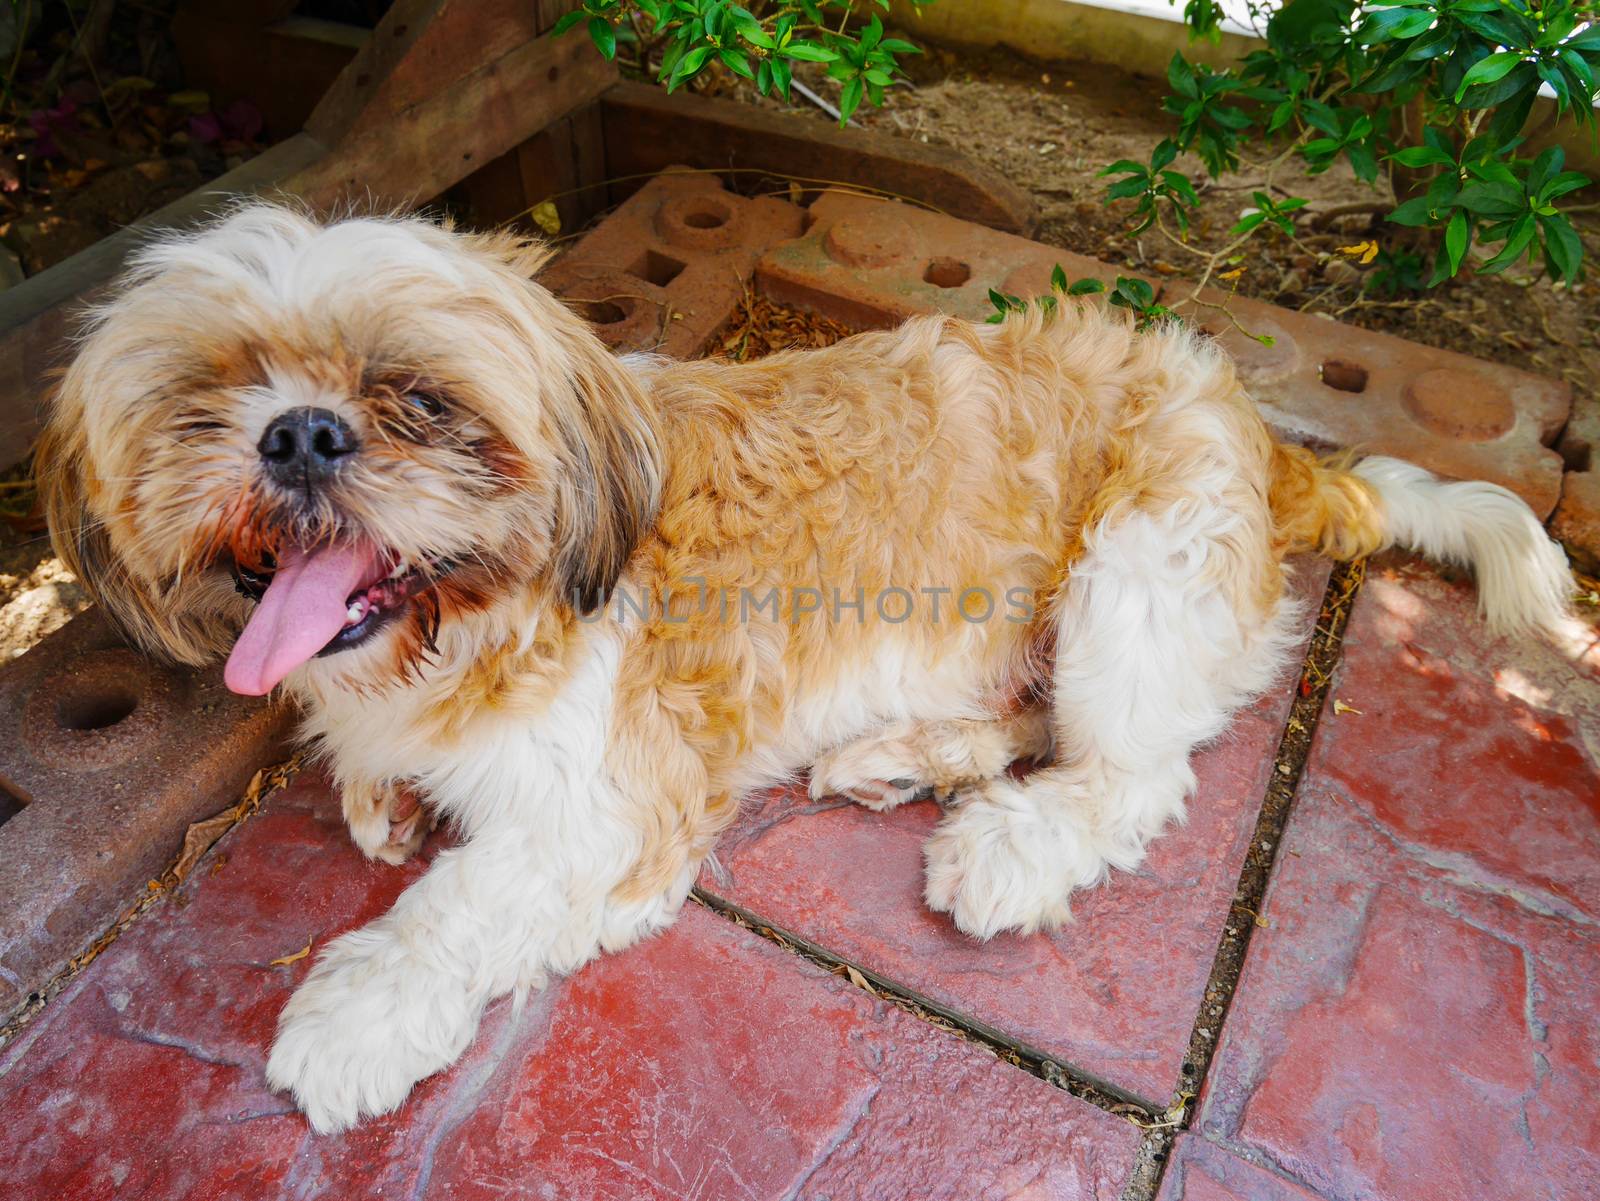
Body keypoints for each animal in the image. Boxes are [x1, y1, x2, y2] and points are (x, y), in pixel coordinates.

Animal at [37, 202, 1574, 1132]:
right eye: (207, 399)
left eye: (420, 400)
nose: (298, 433)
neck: (474, 624)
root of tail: (1257, 430)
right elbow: (371, 783)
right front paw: (374, 790)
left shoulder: (613, 805)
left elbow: (465, 901)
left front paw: (359, 1007)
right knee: (1030, 724)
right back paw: (905, 758)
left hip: (1135, 571)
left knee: (1129, 773)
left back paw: (1006, 845)